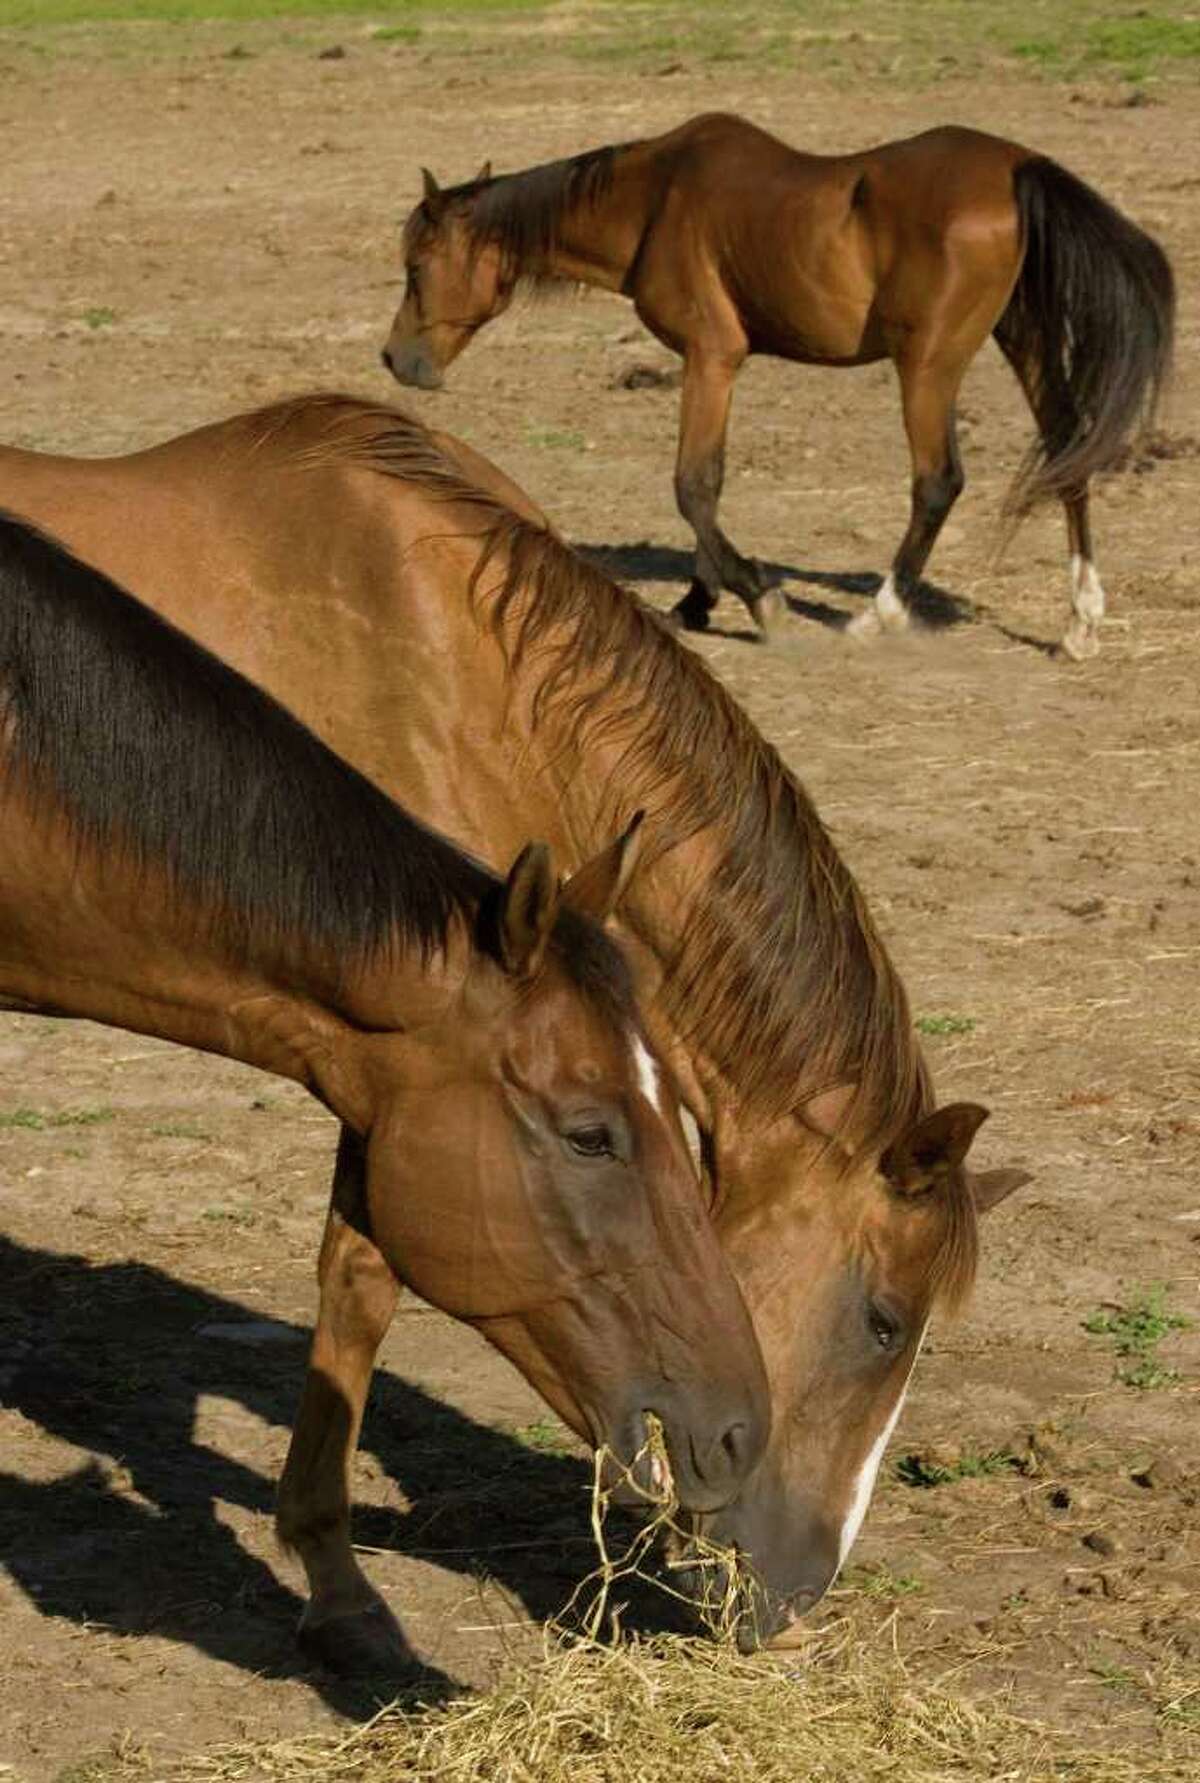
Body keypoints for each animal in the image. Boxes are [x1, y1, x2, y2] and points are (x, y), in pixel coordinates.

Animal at [385, 113, 1175, 660]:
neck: (655, 200)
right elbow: (707, 485)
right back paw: (1080, 621)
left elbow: (695, 486)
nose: (398, 360)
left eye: (417, 267)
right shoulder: (720, 364)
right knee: (1069, 454)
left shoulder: (712, 356)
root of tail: (1017, 167)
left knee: (937, 482)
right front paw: (700, 597)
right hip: (1024, 343)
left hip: (927, 365)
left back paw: (879, 615)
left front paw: (757, 597)